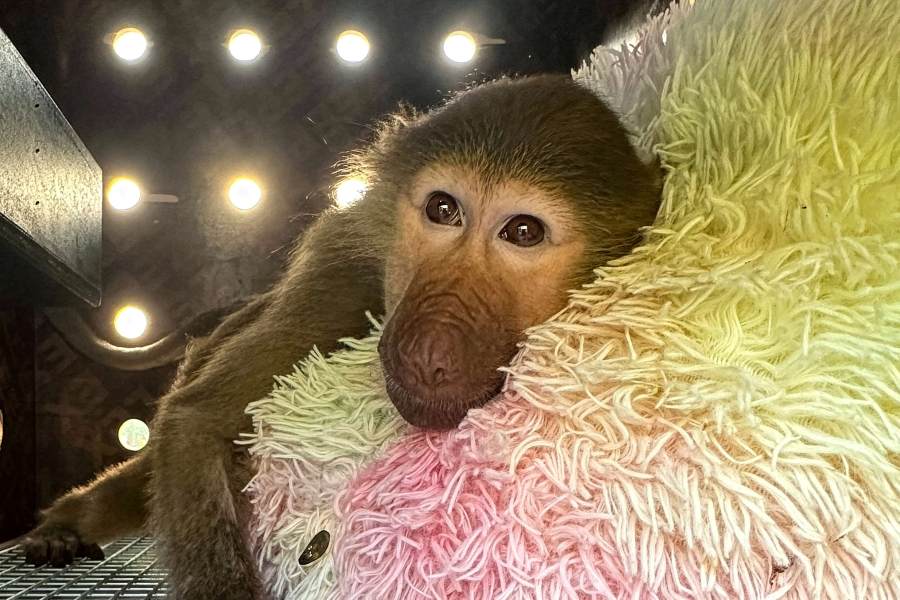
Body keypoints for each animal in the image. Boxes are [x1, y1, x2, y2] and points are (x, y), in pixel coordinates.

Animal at [21, 74, 661, 599]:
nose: (427, 348)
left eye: (523, 232)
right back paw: (67, 520)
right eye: (443, 209)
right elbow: (195, 423)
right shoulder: (340, 272)